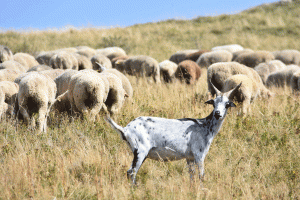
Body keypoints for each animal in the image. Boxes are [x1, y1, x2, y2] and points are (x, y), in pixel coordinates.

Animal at [104, 81, 240, 184]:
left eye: (227, 104)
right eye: (214, 103)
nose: (217, 113)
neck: (204, 125)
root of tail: (125, 129)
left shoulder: (189, 157)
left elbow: (192, 176)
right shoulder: (199, 155)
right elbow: (201, 176)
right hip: (140, 151)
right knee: (131, 172)